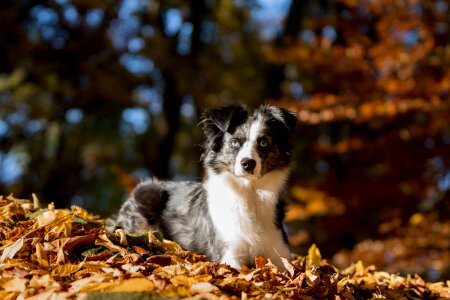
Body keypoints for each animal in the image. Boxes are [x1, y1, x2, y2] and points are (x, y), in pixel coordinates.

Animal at [116, 103, 298, 270]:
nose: (248, 163)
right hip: (148, 193)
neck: (249, 192)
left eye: (263, 142)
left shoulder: (279, 251)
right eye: (234, 142)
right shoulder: (228, 252)